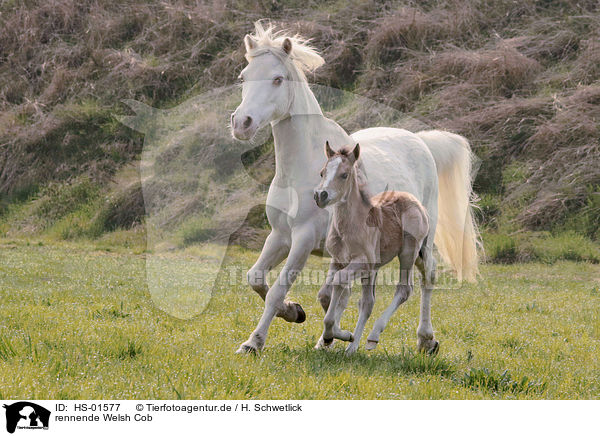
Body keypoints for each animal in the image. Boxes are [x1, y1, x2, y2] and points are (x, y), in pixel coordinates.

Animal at [314, 143, 432, 354]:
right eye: (322, 173)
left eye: (344, 175)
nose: (320, 195)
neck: (350, 226)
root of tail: (418, 204)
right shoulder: (338, 260)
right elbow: (326, 294)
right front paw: (337, 336)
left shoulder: (363, 262)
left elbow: (340, 281)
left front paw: (333, 334)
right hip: (400, 260)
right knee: (371, 300)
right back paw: (353, 347)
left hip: (408, 252)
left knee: (405, 289)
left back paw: (372, 336)